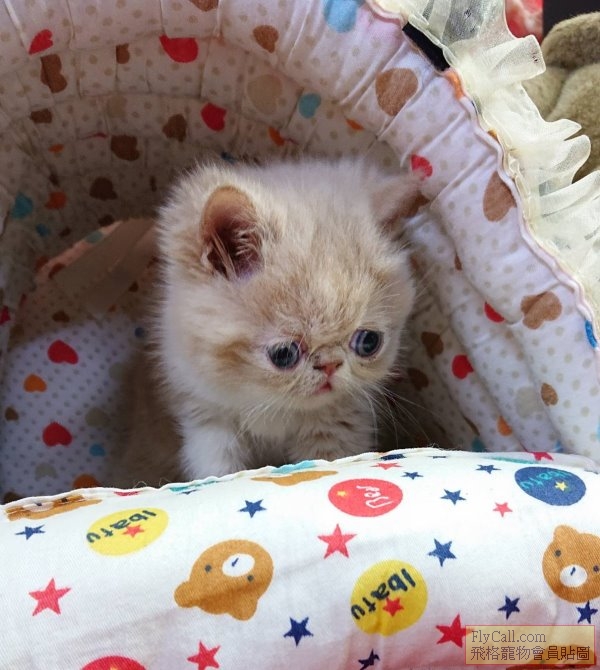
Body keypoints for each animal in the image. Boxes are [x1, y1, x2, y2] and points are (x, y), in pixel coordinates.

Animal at [117, 156, 420, 487]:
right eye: (283, 354)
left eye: (369, 342)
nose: (330, 366)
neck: (271, 405)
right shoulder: (204, 416)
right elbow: (218, 468)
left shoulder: (339, 422)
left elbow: (331, 460)